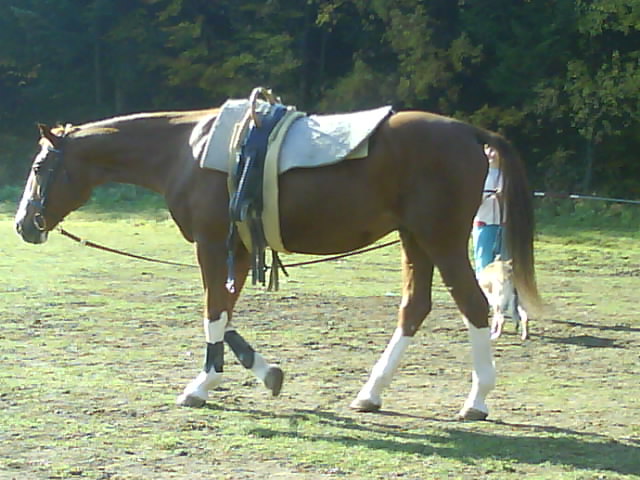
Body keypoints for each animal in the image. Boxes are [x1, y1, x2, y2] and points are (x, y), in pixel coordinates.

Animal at [13, 106, 540, 420]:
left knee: (474, 306)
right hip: (415, 241)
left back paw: (476, 400)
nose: (22, 225)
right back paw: (371, 393)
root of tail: (469, 131)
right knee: (415, 308)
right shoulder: (240, 251)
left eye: (39, 167)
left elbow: (212, 312)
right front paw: (265, 373)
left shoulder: (212, 246)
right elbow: (224, 315)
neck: (187, 151)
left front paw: (202, 385)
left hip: (441, 241)